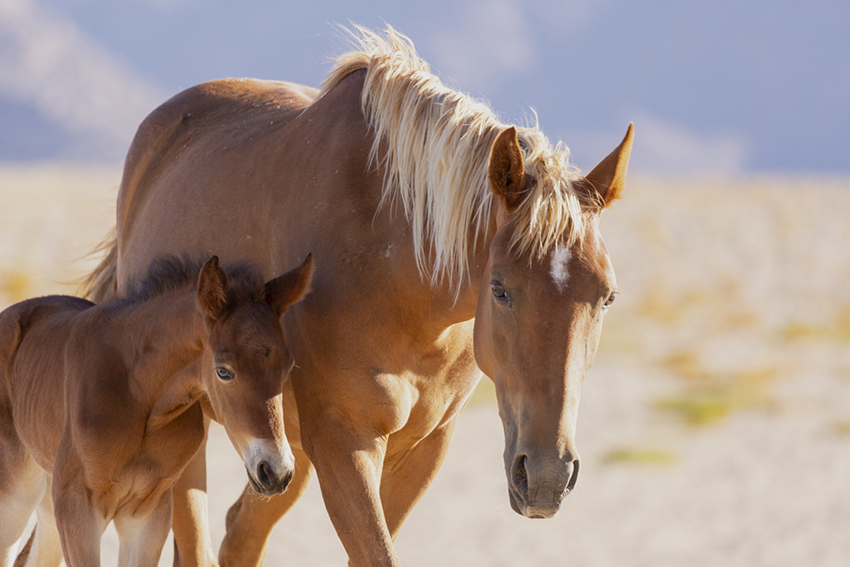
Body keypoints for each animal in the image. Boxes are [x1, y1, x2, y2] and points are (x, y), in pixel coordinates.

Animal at [0, 254, 313, 567]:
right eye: (223, 372)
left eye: (288, 368)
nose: (277, 471)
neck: (140, 397)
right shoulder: (78, 508)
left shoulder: (148, 513)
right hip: (16, 498)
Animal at [83, 26, 633, 567]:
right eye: (499, 289)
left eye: (606, 298)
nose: (545, 478)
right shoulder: (344, 443)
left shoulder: (424, 448)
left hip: (286, 451)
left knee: (241, 535)